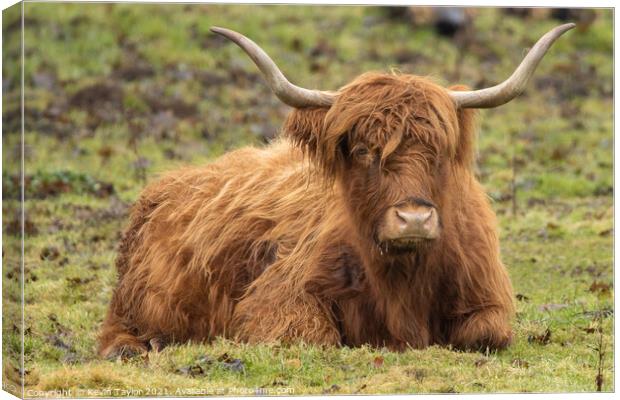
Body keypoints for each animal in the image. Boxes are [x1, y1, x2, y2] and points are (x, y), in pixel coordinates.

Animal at [98, 23, 576, 358]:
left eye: (438, 152)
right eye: (363, 151)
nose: (414, 218)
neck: (403, 279)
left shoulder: (486, 298)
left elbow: (487, 334)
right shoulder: (277, 299)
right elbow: (314, 336)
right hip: (134, 301)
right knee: (115, 330)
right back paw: (134, 348)